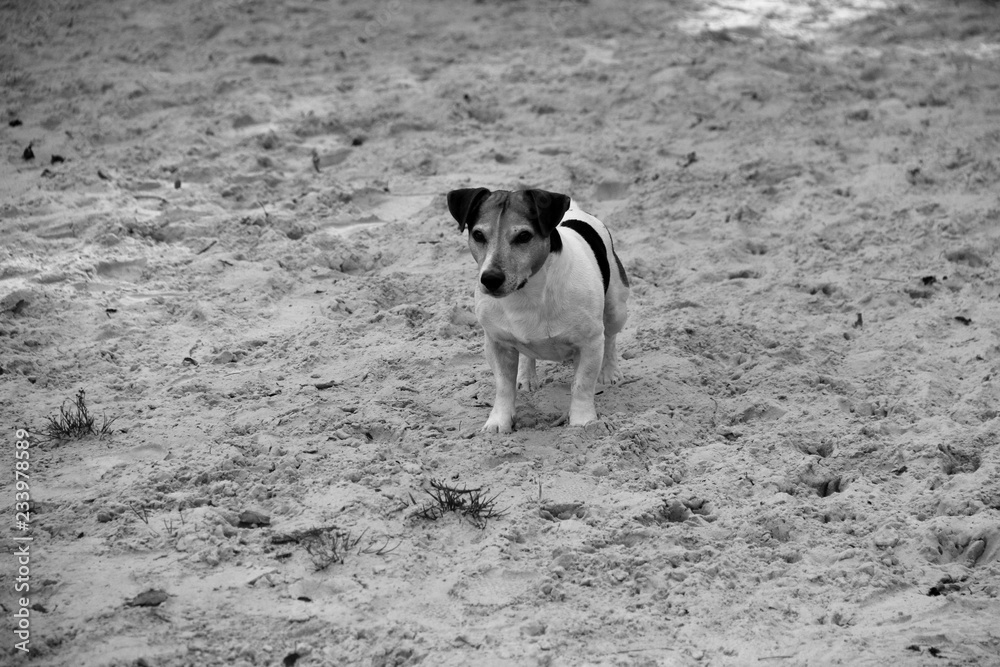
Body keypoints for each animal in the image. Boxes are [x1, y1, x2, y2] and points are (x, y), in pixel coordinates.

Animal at [450, 188, 628, 434]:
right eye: (478, 235)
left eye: (524, 236)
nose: (490, 279)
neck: (526, 293)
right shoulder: (497, 343)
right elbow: (503, 387)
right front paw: (498, 422)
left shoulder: (590, 343)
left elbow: (582, 385)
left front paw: (583, 423)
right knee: (527, 354)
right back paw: (526, 377)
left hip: (616, 308)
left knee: (610, 337)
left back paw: (609, 372)